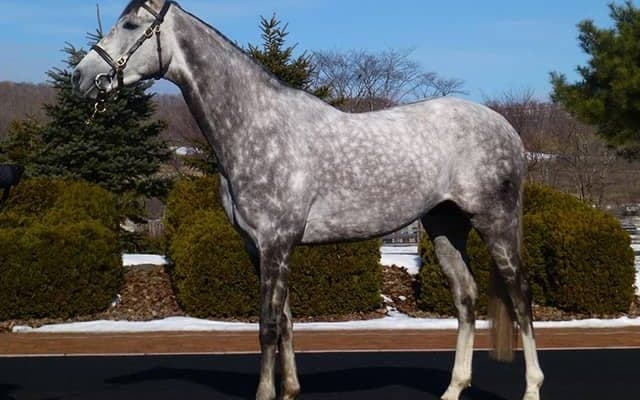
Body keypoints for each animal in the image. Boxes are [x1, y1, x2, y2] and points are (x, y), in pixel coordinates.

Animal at [72, 1, 544, 399]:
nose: (81, 76)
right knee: (465, 298)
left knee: (521, 298)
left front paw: (266, 393)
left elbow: (266, 325)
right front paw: (291, 390)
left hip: (497, 223)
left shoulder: (276, 242)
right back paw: (453, 388)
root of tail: (507, 129)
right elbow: (285, 321)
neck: (256, 127)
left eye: (130, 25)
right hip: (444, 225)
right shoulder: (259, 247)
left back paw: (531, 388)